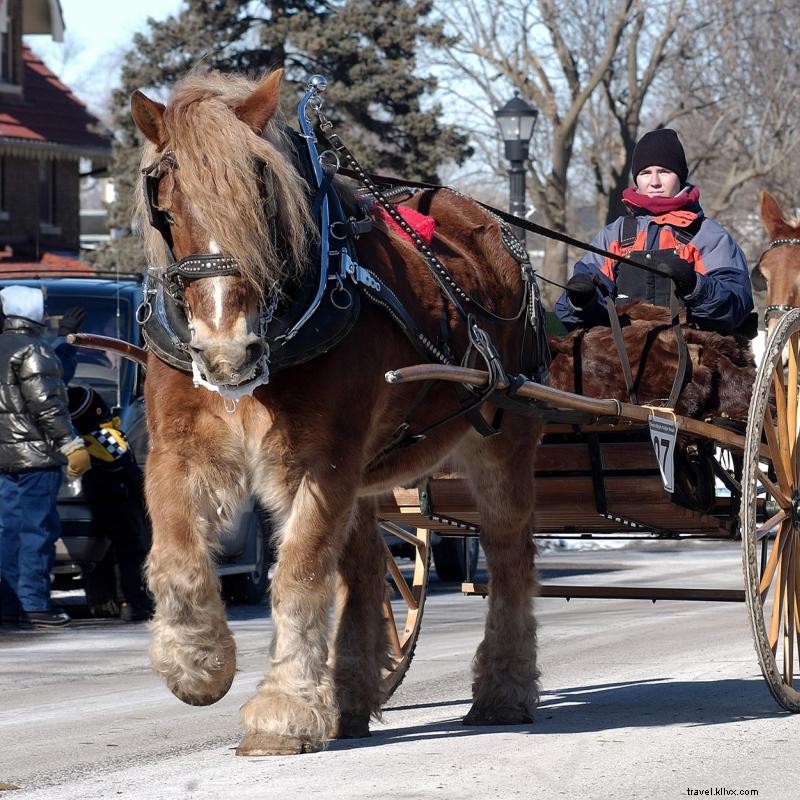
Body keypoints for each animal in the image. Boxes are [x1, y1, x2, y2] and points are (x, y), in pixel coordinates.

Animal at [131, 70, 548, 756]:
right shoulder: (178, 448)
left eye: (263, 196)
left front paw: (283, 710)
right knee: (366, 565)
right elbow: (175, 555)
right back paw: (351, 696)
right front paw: (196, 664)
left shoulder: (322, 459)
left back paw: (504, 691)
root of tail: (492, 226)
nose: (226, 352)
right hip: (373, 463)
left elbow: (299, 572)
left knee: (510, 552)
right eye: (165, 201)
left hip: (503, 435)